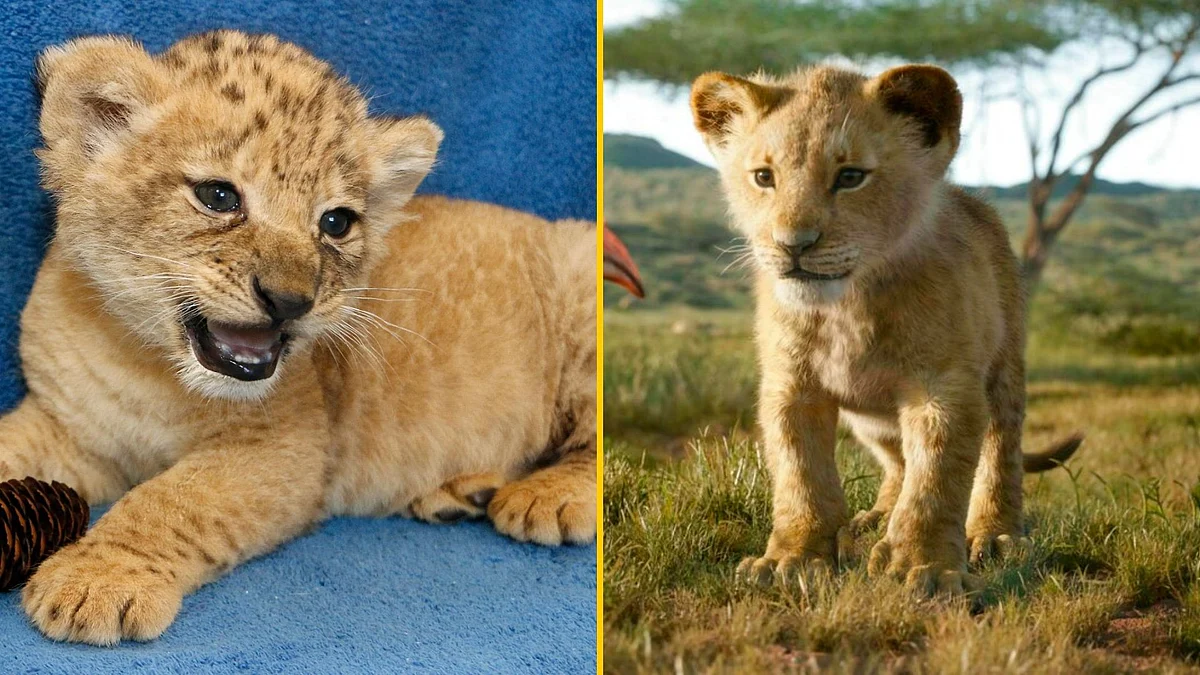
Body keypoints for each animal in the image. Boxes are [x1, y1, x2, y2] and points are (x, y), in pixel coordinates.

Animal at [0, 30, 595, 645]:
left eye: (336, 223)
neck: (146, 363)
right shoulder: (69, 428)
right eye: (218, 196)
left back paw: (545, 495)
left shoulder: (286, 449)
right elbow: (13, 445)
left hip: (580, 269)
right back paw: (458, 494)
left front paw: (96, 579)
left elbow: (170, 501)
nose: (290, 301)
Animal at [689, 63, 1080, 595]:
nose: (793, 244)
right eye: (764, 177)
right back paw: (875, 518)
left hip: (1004, 369)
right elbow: (800, 474)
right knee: (897, 461)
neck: (847, 308)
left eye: (851, 176)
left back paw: (995, 534)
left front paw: (925, 567)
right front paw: (792, 559)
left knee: (1000, 451)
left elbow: (936, 480)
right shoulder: (791, 387)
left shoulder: (944, 387)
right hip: (870, 419)